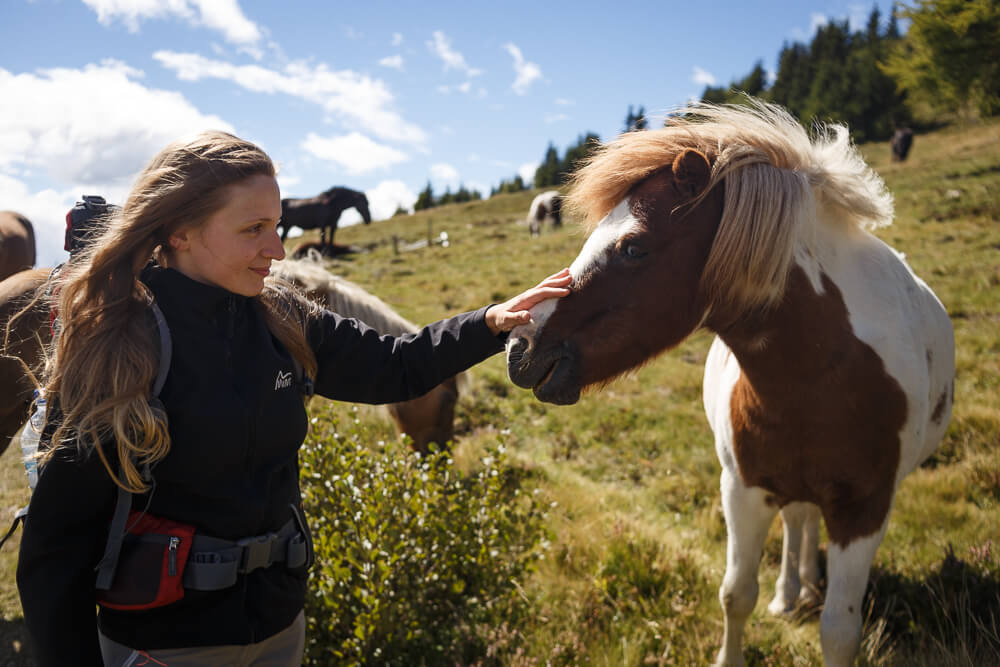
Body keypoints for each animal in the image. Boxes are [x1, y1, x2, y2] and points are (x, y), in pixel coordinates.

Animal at [504, 100, 956, 667]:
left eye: (633, 247)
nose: (520, 346)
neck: (819, 375)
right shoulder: (742, 489)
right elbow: (736, 594)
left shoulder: (865, 509)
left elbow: (839, 631)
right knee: (800, 520)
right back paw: (792, 592)